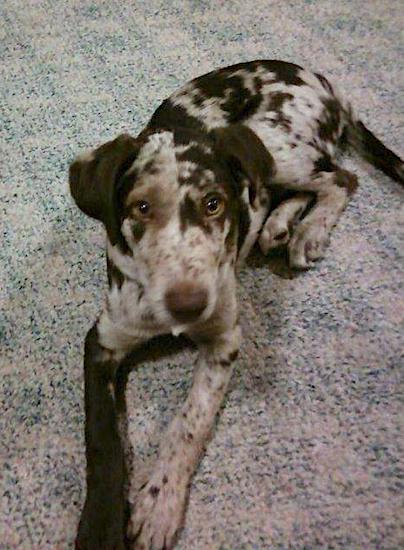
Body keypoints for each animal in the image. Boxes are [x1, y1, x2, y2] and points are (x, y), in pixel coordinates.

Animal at [71, 58, 402, 548]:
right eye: (141, 208)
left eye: (214, 204)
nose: (190, 305)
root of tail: (320, 79)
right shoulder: (103, 341)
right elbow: (102, 443)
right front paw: (100, 525)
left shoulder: (224, 339)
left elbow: (189, 422)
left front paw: (160, 503)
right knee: (283, 189)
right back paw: (278, 226)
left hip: (276, 142)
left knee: (339, 178)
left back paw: (309, 230)